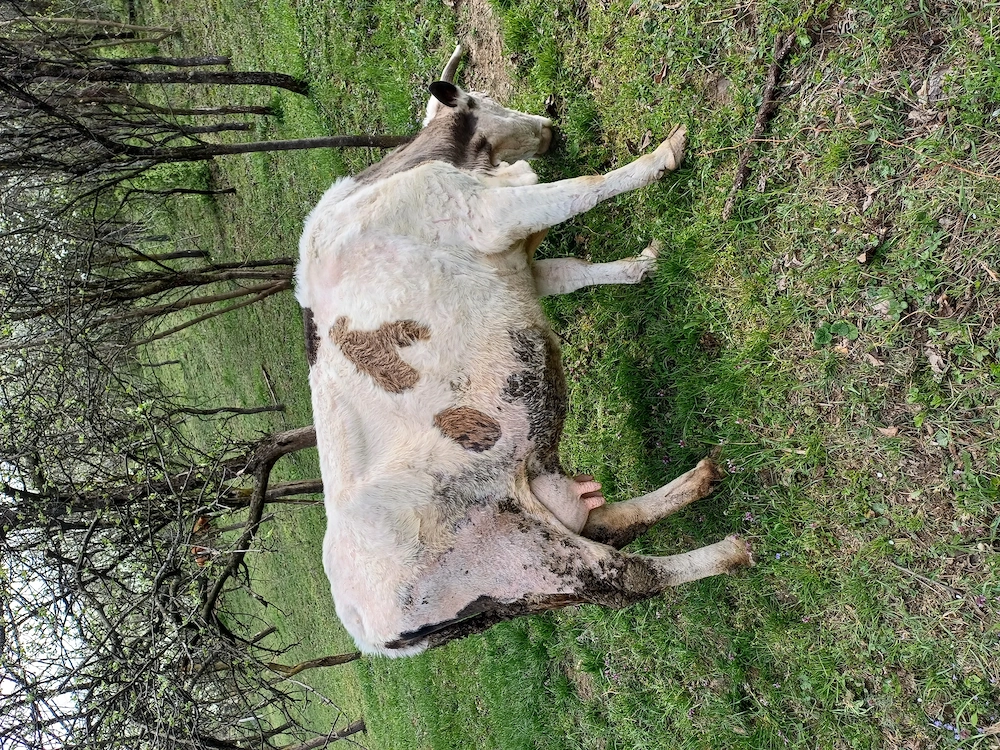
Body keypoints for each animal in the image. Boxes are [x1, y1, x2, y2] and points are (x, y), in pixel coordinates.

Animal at [295, 46, 752, 657]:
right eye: (480, 99)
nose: (549, 126)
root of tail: (369, 631)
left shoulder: (519, 265)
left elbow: (573, 271)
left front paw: (641, 265)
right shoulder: (492, 216)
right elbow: (586, 186)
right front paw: (664, 154)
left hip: (530, 544)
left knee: (606, 524)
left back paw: (698, 479)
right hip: (526, 559)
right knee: (628, 578)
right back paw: (728, 552)